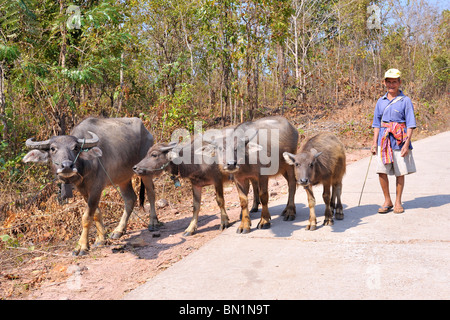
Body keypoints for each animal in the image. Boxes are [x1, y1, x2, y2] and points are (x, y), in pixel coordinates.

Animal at [22, 117, 158, 255]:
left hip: (145, 171)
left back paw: (153, 222)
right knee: (130, 198)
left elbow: (87, 217)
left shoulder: (96, 188)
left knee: (151, 193)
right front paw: (101, 239)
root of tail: (147, 132)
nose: (66, 166)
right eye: (52, 148)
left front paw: (81, 246)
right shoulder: (83, 190)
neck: (85, 165)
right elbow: (96, 213)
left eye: (75, 147)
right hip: (123, 178)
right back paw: (118, 230)